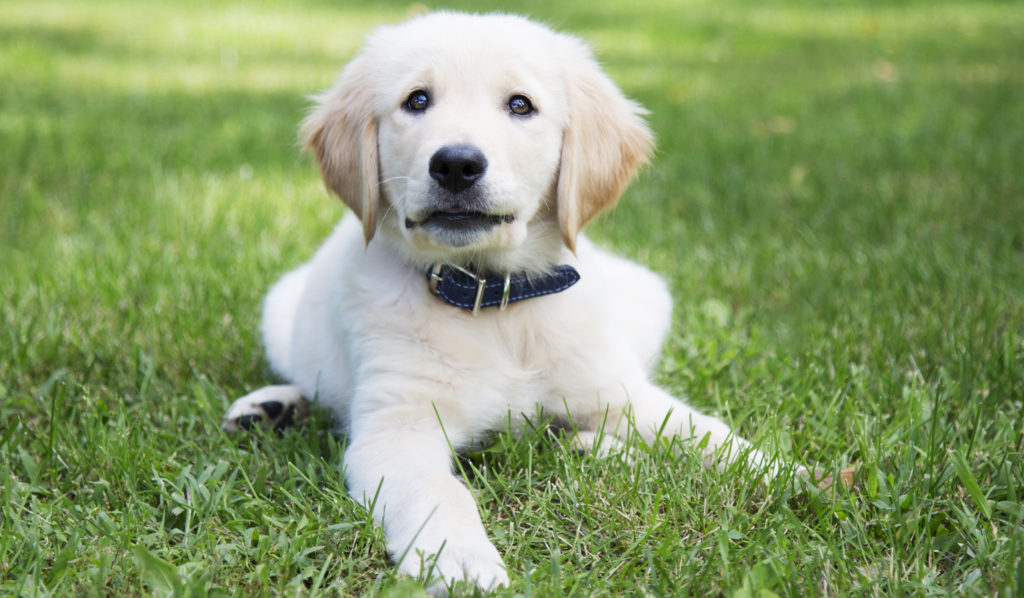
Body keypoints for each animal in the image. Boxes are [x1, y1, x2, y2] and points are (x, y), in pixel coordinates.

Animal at [224, 12, 778, 593]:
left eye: (520, 105)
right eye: (416, 100)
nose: (456, 164)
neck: (494, 299)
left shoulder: (616, 390)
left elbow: (704, 432)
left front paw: (792, 475)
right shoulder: (397, 426)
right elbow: (438, 491)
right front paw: (460, 558)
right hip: (281, 311)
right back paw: (272, 407)